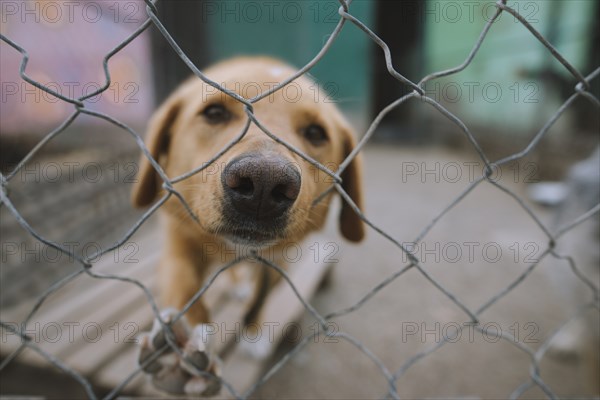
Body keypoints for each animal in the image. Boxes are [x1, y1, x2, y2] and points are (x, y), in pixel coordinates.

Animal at [133, 57, 364, 396]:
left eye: (316, 132)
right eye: (215, 113)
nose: (263, 184)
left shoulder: (279, 261)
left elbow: (261, 297)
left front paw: (253, 335)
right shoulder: (179, 241)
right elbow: (185, 286)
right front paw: (179, 349)